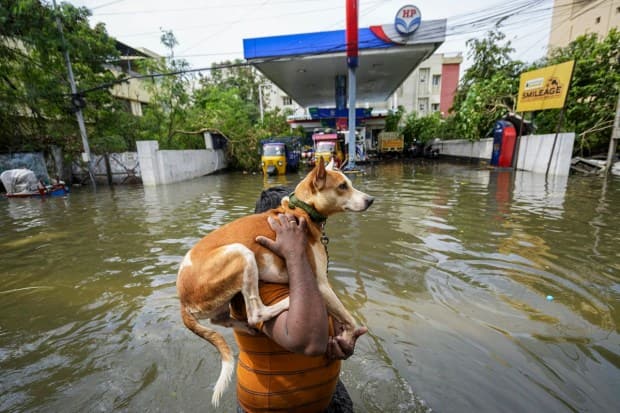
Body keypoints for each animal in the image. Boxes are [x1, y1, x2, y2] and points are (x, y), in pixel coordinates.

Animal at [177, 158, 376, 406]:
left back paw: (245, 327)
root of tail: (182, 300)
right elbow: (350, 319)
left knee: (221, 319)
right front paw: (349, 337)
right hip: (242, 253)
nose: (371, 200)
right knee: (256, 313)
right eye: (342, 186)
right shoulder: (321, 284)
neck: (302, 209)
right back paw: (285, 303)